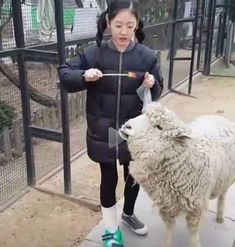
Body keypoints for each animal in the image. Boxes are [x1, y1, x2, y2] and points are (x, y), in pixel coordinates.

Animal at [118, 102, 235, 247]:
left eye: (159, 127)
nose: (126, 126)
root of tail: (219, 118)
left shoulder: (196, 210)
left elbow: (193, 235)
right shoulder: (168, 204)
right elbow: (169, 229)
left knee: (223, 194)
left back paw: (220, 215)